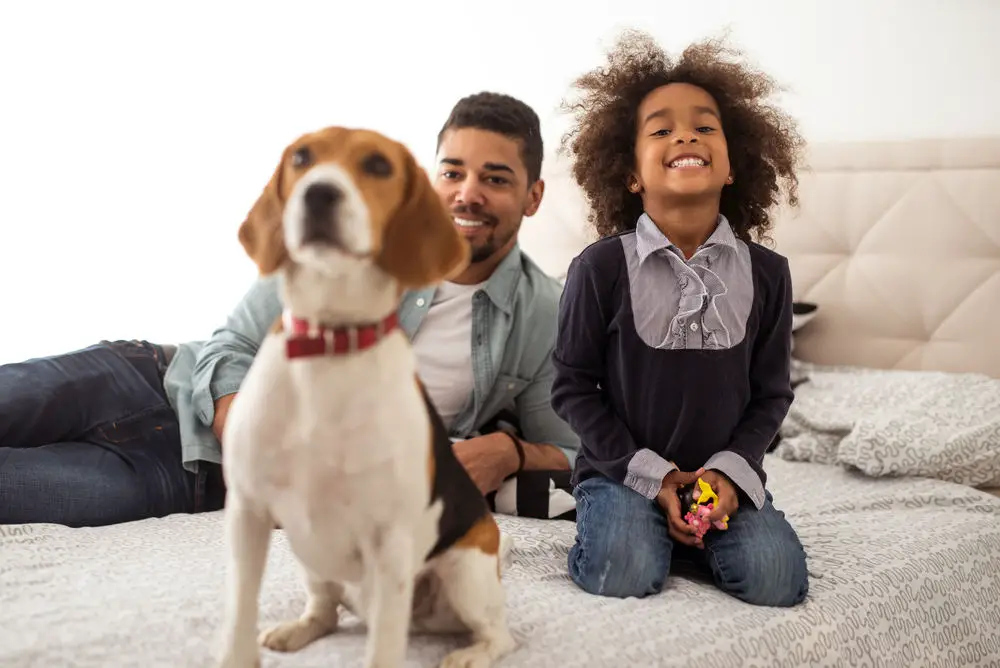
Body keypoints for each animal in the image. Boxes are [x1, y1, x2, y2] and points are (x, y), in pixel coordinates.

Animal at [217, 126, 516, 668]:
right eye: (301, 157)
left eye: (378, 165)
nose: (317, 193)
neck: (330, 341)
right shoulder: (247, 513)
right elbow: (237, 622)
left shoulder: (391, 539)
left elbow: (382, 652)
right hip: (311, 557)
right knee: (326, 612)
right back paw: (298, 629)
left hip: (464, 572)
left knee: (502, 635)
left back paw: (470, 654)